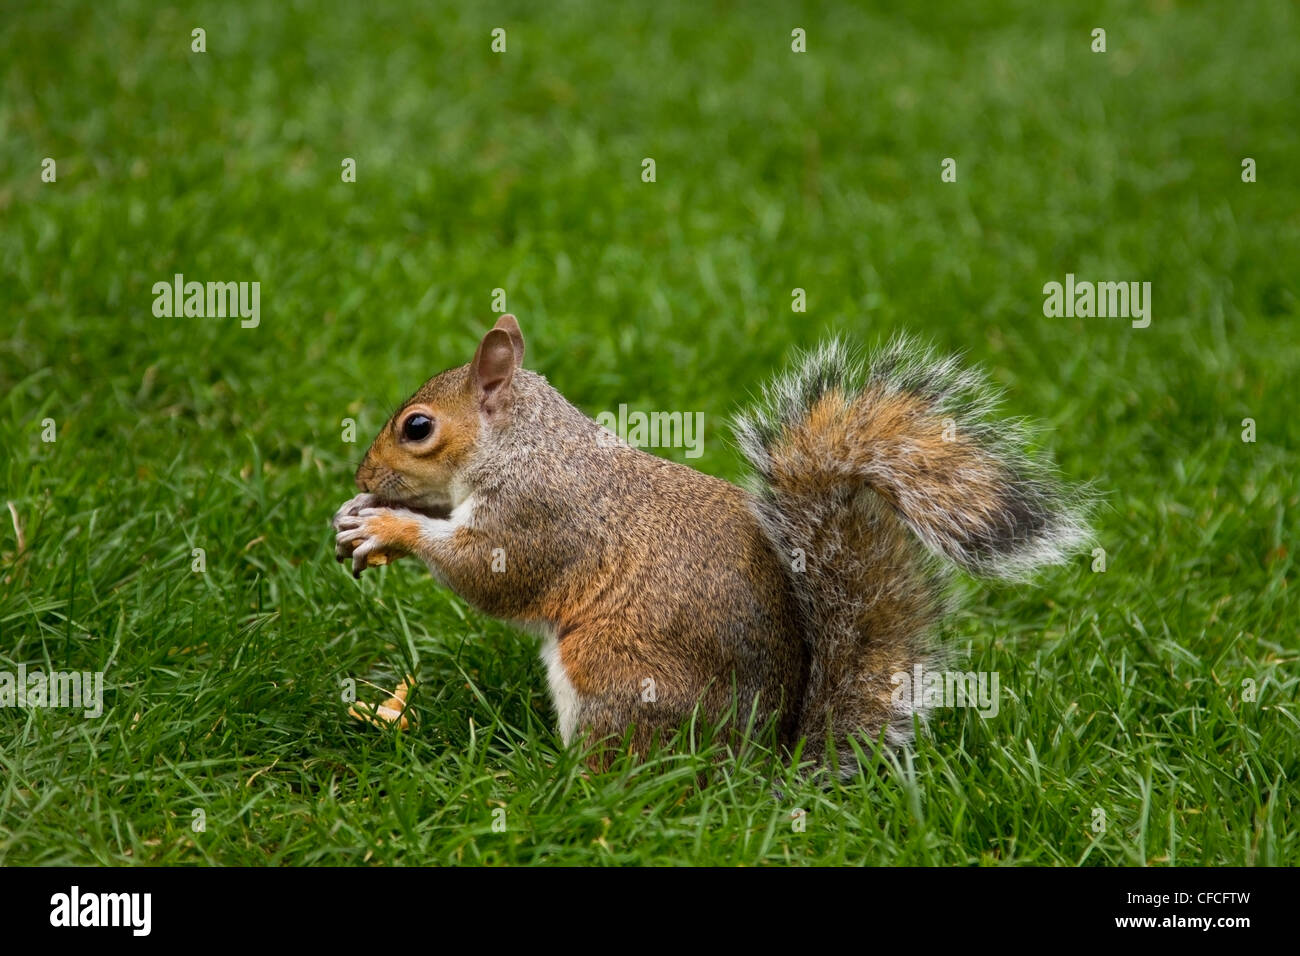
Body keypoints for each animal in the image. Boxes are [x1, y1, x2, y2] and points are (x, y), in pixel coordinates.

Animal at [332, 317, 1086, 775]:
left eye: (418, 427)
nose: (364, 477)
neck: (525, 444)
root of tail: (758, 767)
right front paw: (359, 516)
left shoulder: (537, 517)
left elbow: (490, 573)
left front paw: (389, 527)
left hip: (611, 671)